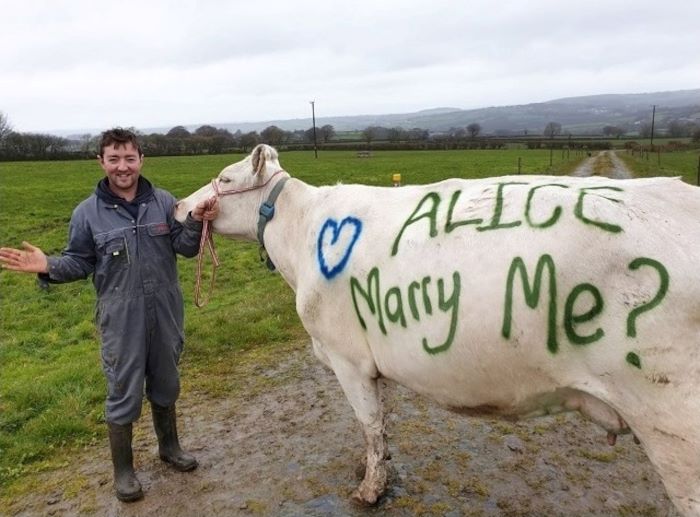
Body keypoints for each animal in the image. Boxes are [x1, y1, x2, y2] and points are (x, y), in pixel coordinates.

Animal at [175, 144, 700, 516]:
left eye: (225, 178)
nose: (180, 206)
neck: (302, 236)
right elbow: (380, 424)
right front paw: (376, 469)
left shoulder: (347, 358)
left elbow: (369, 424)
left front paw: (370, 490)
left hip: (673, 424)